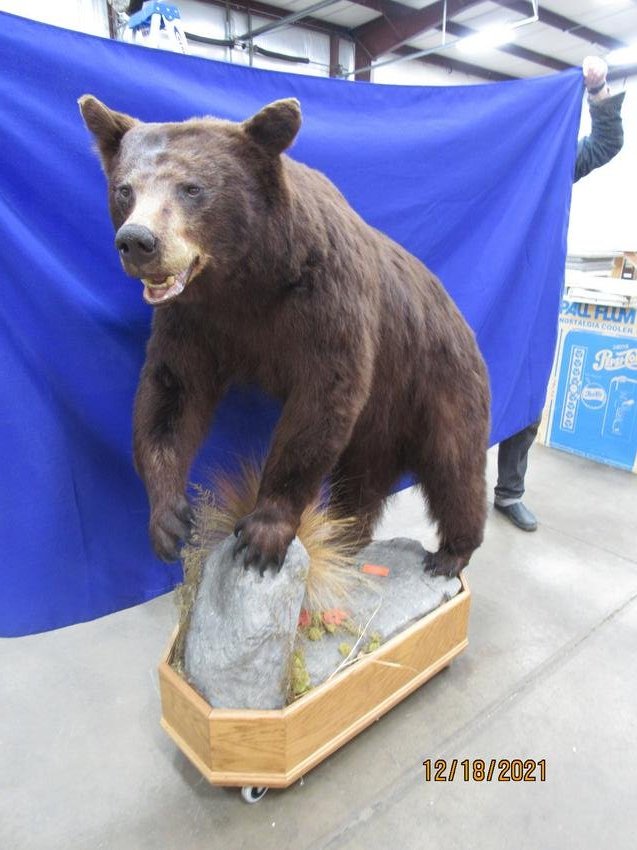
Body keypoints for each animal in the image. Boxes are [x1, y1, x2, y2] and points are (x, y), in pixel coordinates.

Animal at [79, 95, 490, 578]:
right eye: (124, 189)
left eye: (192, 188)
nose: (138, 241)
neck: (250, 278)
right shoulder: (195, 322)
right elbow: (171, 393)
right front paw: (169, 519)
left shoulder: (326, 302)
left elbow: (320, 400)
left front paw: (263, 533)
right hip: (378, 422)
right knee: (361, 478)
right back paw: (346, 535)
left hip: (436, 378)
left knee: (454, 464)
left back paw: (450, 552)